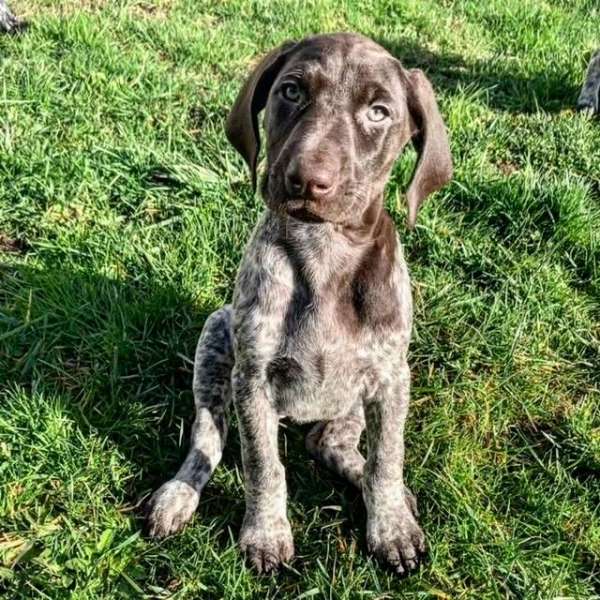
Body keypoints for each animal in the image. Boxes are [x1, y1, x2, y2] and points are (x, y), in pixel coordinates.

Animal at [146, 34, 450, 576]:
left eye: (379, 112)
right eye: (291, 91)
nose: (308, 180)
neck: (325, 252)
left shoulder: (391, 376)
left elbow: (387, 459)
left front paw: (391, 526)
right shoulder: (253, 378)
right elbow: (263, 465)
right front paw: (266, 534)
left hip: (351, 403)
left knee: (331, 444)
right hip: (217, 336)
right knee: (209, 437)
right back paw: (179, 494)